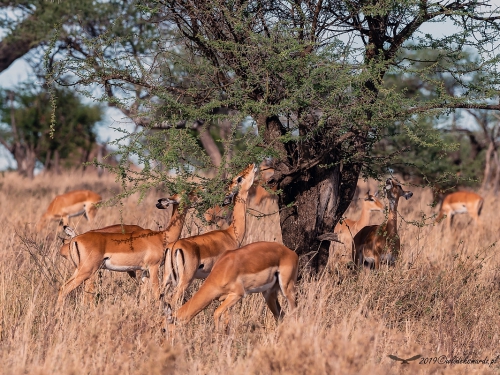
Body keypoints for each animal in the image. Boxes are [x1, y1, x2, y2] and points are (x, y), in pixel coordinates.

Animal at [164, 242, 298, 334]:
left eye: (163, 329)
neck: (223, 269)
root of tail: (292, 253)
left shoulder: (237, 295)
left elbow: (216, 313)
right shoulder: (225, 299)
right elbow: (226, 321)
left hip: (287, 289)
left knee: (294, 312)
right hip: (269, 294)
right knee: (280, 315)